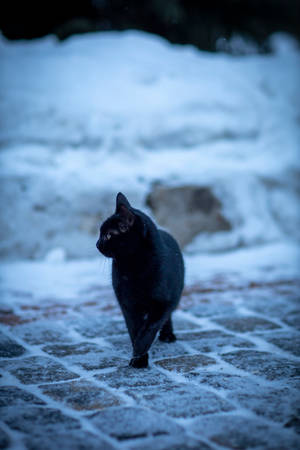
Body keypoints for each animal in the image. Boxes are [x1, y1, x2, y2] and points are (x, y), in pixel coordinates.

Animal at [97, 192, 184, 368]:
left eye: (108, 235)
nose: (97, 244)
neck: (133, 268)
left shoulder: (162, 304)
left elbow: (149, 329)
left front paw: (139, 353)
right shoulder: (127, 305)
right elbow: (134, 329)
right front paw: (139, 357)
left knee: (168, 316)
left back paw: (168, 335)